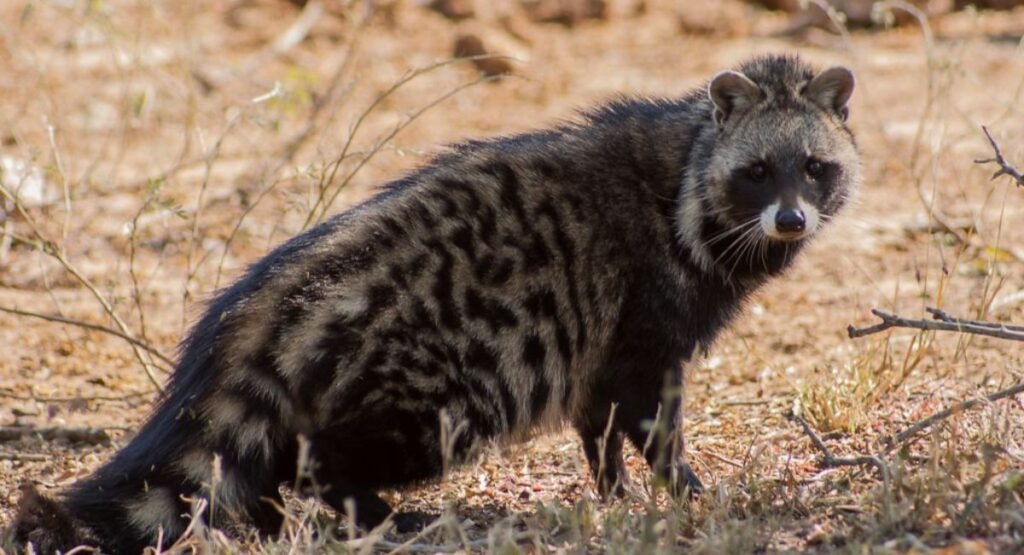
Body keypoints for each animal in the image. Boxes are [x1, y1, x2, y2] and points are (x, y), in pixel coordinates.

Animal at [8, 54, 859, 553]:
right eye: (758, 170)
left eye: (815, 167)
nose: (791, 220)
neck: (689, 162)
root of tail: (262, 310)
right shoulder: (649, 304)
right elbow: (648, 414)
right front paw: (683, 488)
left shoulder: (605, 330)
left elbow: (599, 418)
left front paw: (615, 492)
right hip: (436, 381)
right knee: (333, 452)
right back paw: (360, 505)